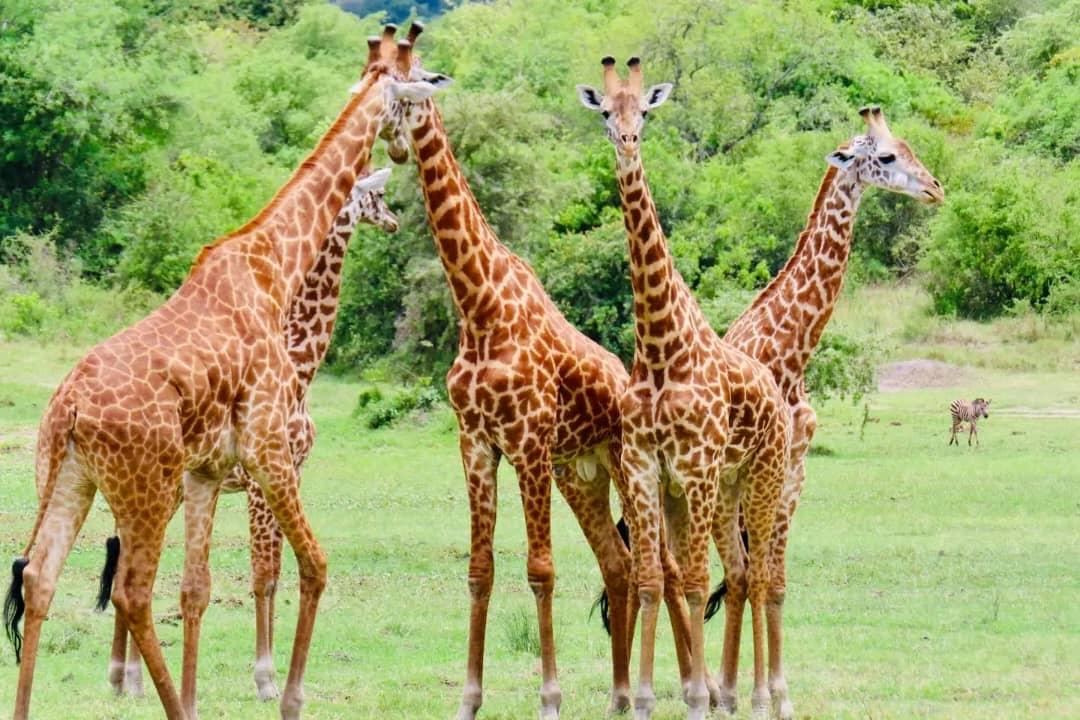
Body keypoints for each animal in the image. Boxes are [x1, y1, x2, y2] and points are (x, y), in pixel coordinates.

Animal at [102, 166, 399, 702]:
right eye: (380, 194)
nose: (393, 221)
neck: (301, 366)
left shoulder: (290, 475)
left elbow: (276, 570)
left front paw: (274, 672)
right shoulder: (262, 483)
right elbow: (263, 574)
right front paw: (265, 677)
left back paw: (123, 677)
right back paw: (128, 677)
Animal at [577, 57, 791, 720]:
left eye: (644, 112)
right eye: (604, 112)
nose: (627, 143)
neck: (660, 348)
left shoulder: (694, 467)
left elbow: (695, 583)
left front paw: (696, 697)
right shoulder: (649, 469)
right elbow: (653, 579)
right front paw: (647, 697)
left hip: (760, 479)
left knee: (762, 574)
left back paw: (767, 696)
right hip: (719, 490)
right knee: (740, 571)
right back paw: (738, 692)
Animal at [717, 105, 943, 717]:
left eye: (909, 147)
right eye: (886, 156)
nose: (936, 189)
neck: (791, 353)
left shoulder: (795, 471)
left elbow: (774, 581)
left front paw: (777, 696)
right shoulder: (759, 472)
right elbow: (754, 579)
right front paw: (751, 695)